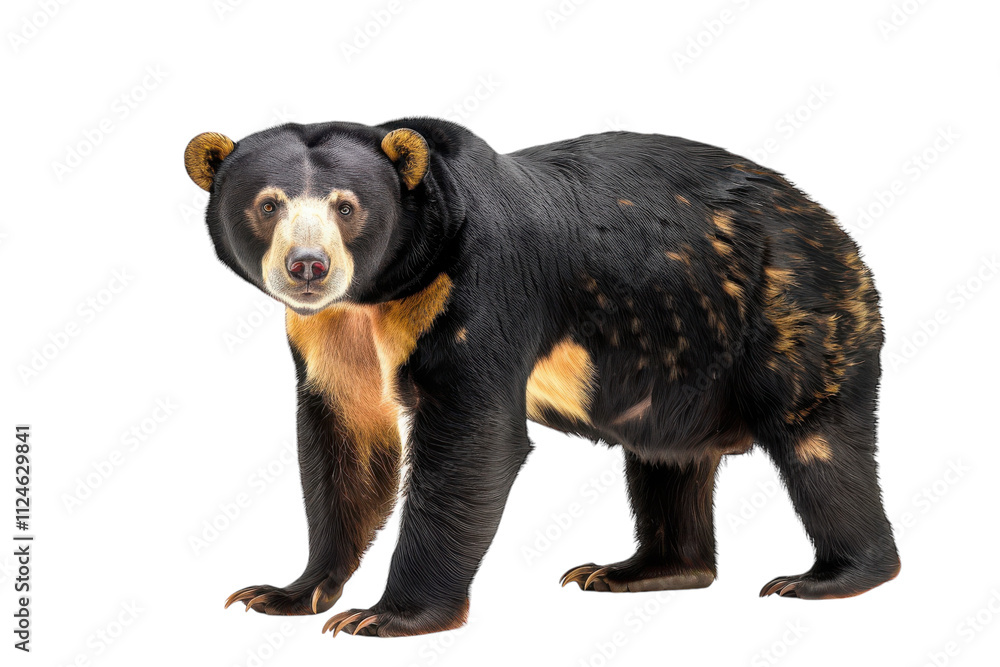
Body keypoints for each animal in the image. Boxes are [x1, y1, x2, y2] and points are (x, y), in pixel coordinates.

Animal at [184, 117, 900, 638]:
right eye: (268, 204)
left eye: (347, 206)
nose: (308, 266)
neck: (386, 291)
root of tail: (832, 226)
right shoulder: (332, 331)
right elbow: (346, 439)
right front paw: (284, 593)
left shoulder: (482, 284)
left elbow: (472, 439)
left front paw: (385, 615)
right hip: (676, 357)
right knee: (664, 461)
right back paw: (636, 570)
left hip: (792, 310)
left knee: (819, 444)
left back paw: (831, 576)